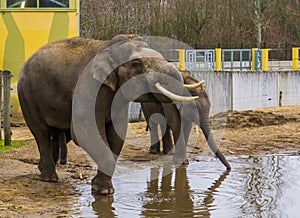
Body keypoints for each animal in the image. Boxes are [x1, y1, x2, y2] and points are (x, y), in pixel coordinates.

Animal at [17, 34, 198, 196]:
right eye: (136, 63)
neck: (108, 47)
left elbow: (117, 133)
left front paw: (103, 189)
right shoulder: (89, 86)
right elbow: (83, 131)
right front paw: (103, 191)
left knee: (60, 133)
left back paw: (44, 169)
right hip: (27, 96)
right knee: (41, 132)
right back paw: (50, 178)